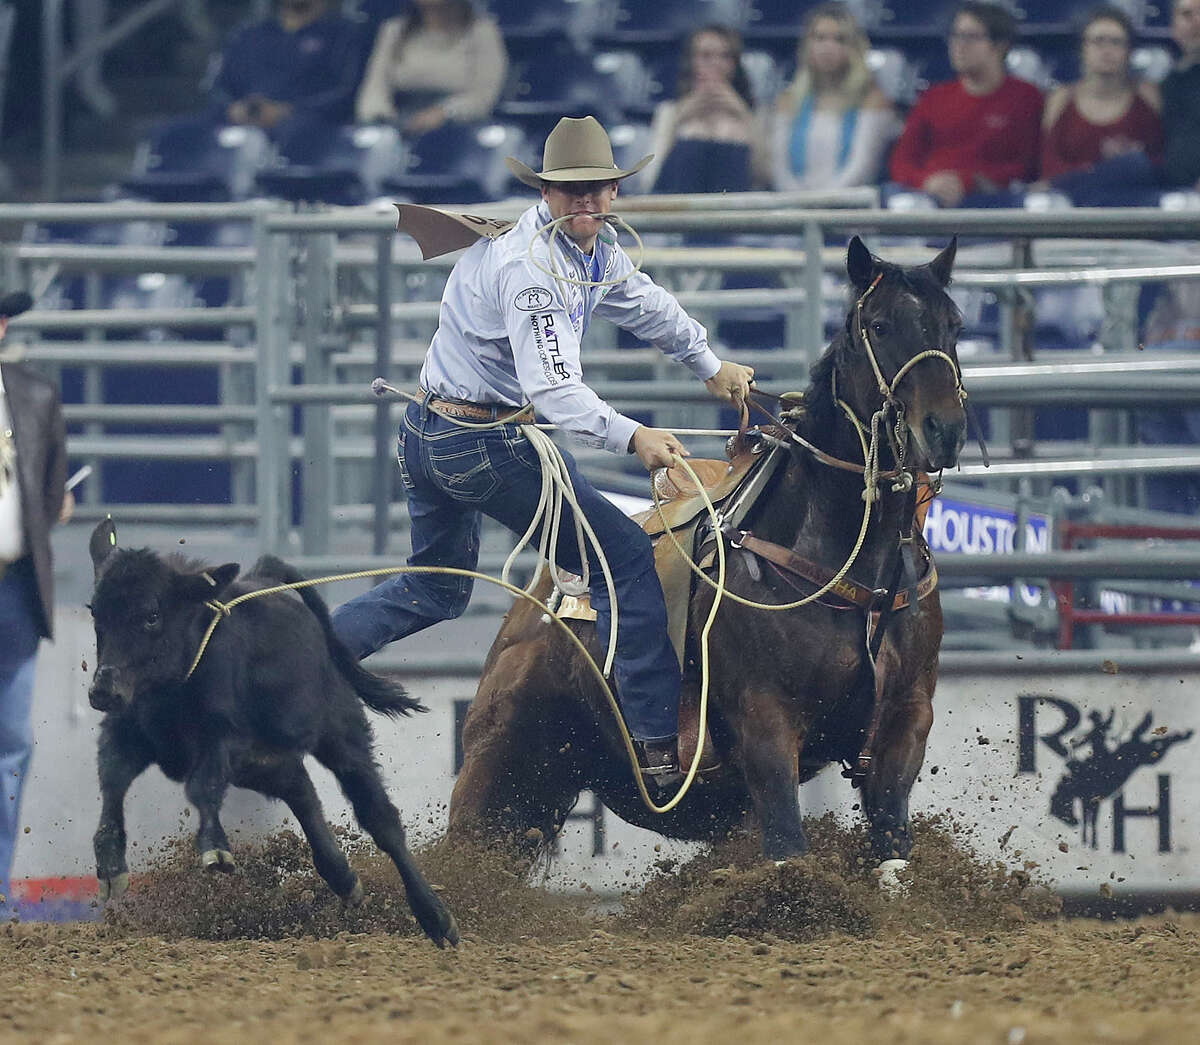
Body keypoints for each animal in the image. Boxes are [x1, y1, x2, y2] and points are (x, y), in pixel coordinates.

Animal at [85, 520, 458, 950]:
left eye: (151, 614)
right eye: (96, 612)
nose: (102, 690)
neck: (169, 693)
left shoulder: (224, 740)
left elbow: (201, 787)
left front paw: (215, 851)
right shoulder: (123, 733)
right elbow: (112, 784)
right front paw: (110, 866)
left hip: (340, 736)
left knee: (380, 819)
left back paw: (436, 917)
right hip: (268, 763)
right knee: (303, 792)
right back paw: (344, 879)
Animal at [448, 237, 964, 868]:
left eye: (954, 325)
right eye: (880, 325)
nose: (944, 429)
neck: (856, 574)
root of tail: (530, 608)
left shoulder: (906, 721)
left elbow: (893, 848)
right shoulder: (765, 724)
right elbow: (788, 846)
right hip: (500, 773)